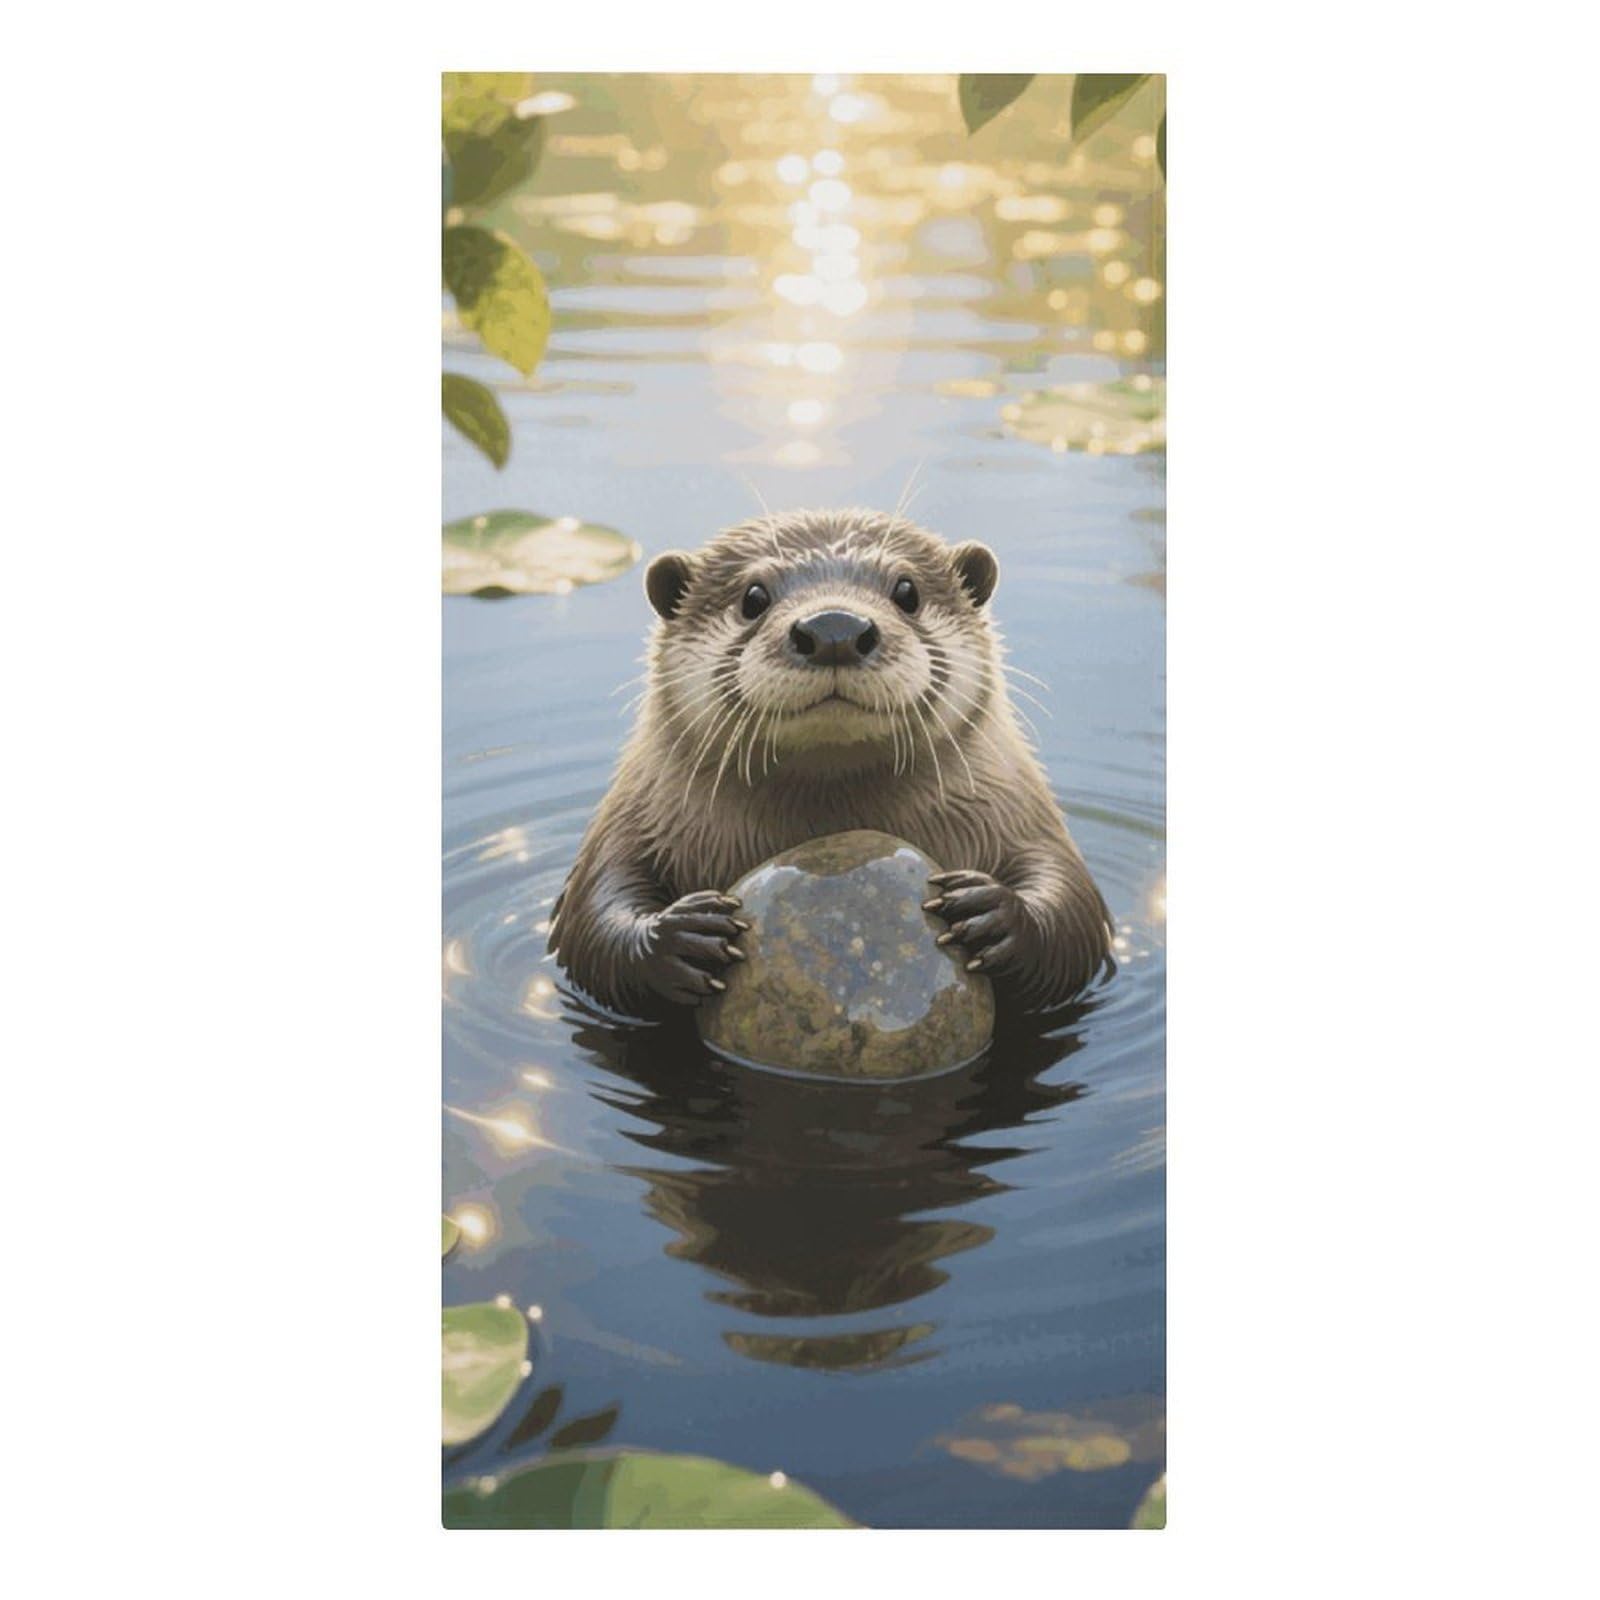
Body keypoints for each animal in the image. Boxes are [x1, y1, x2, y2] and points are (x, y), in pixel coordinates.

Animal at [548, 508, 1112, 1017]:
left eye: (907, 592)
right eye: (753, 598)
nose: (834, 627)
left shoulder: (1023, 816)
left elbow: (1074, 908)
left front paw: (996, 916)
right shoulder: (630, 823)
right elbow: (589, 919)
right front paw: (676, 937)